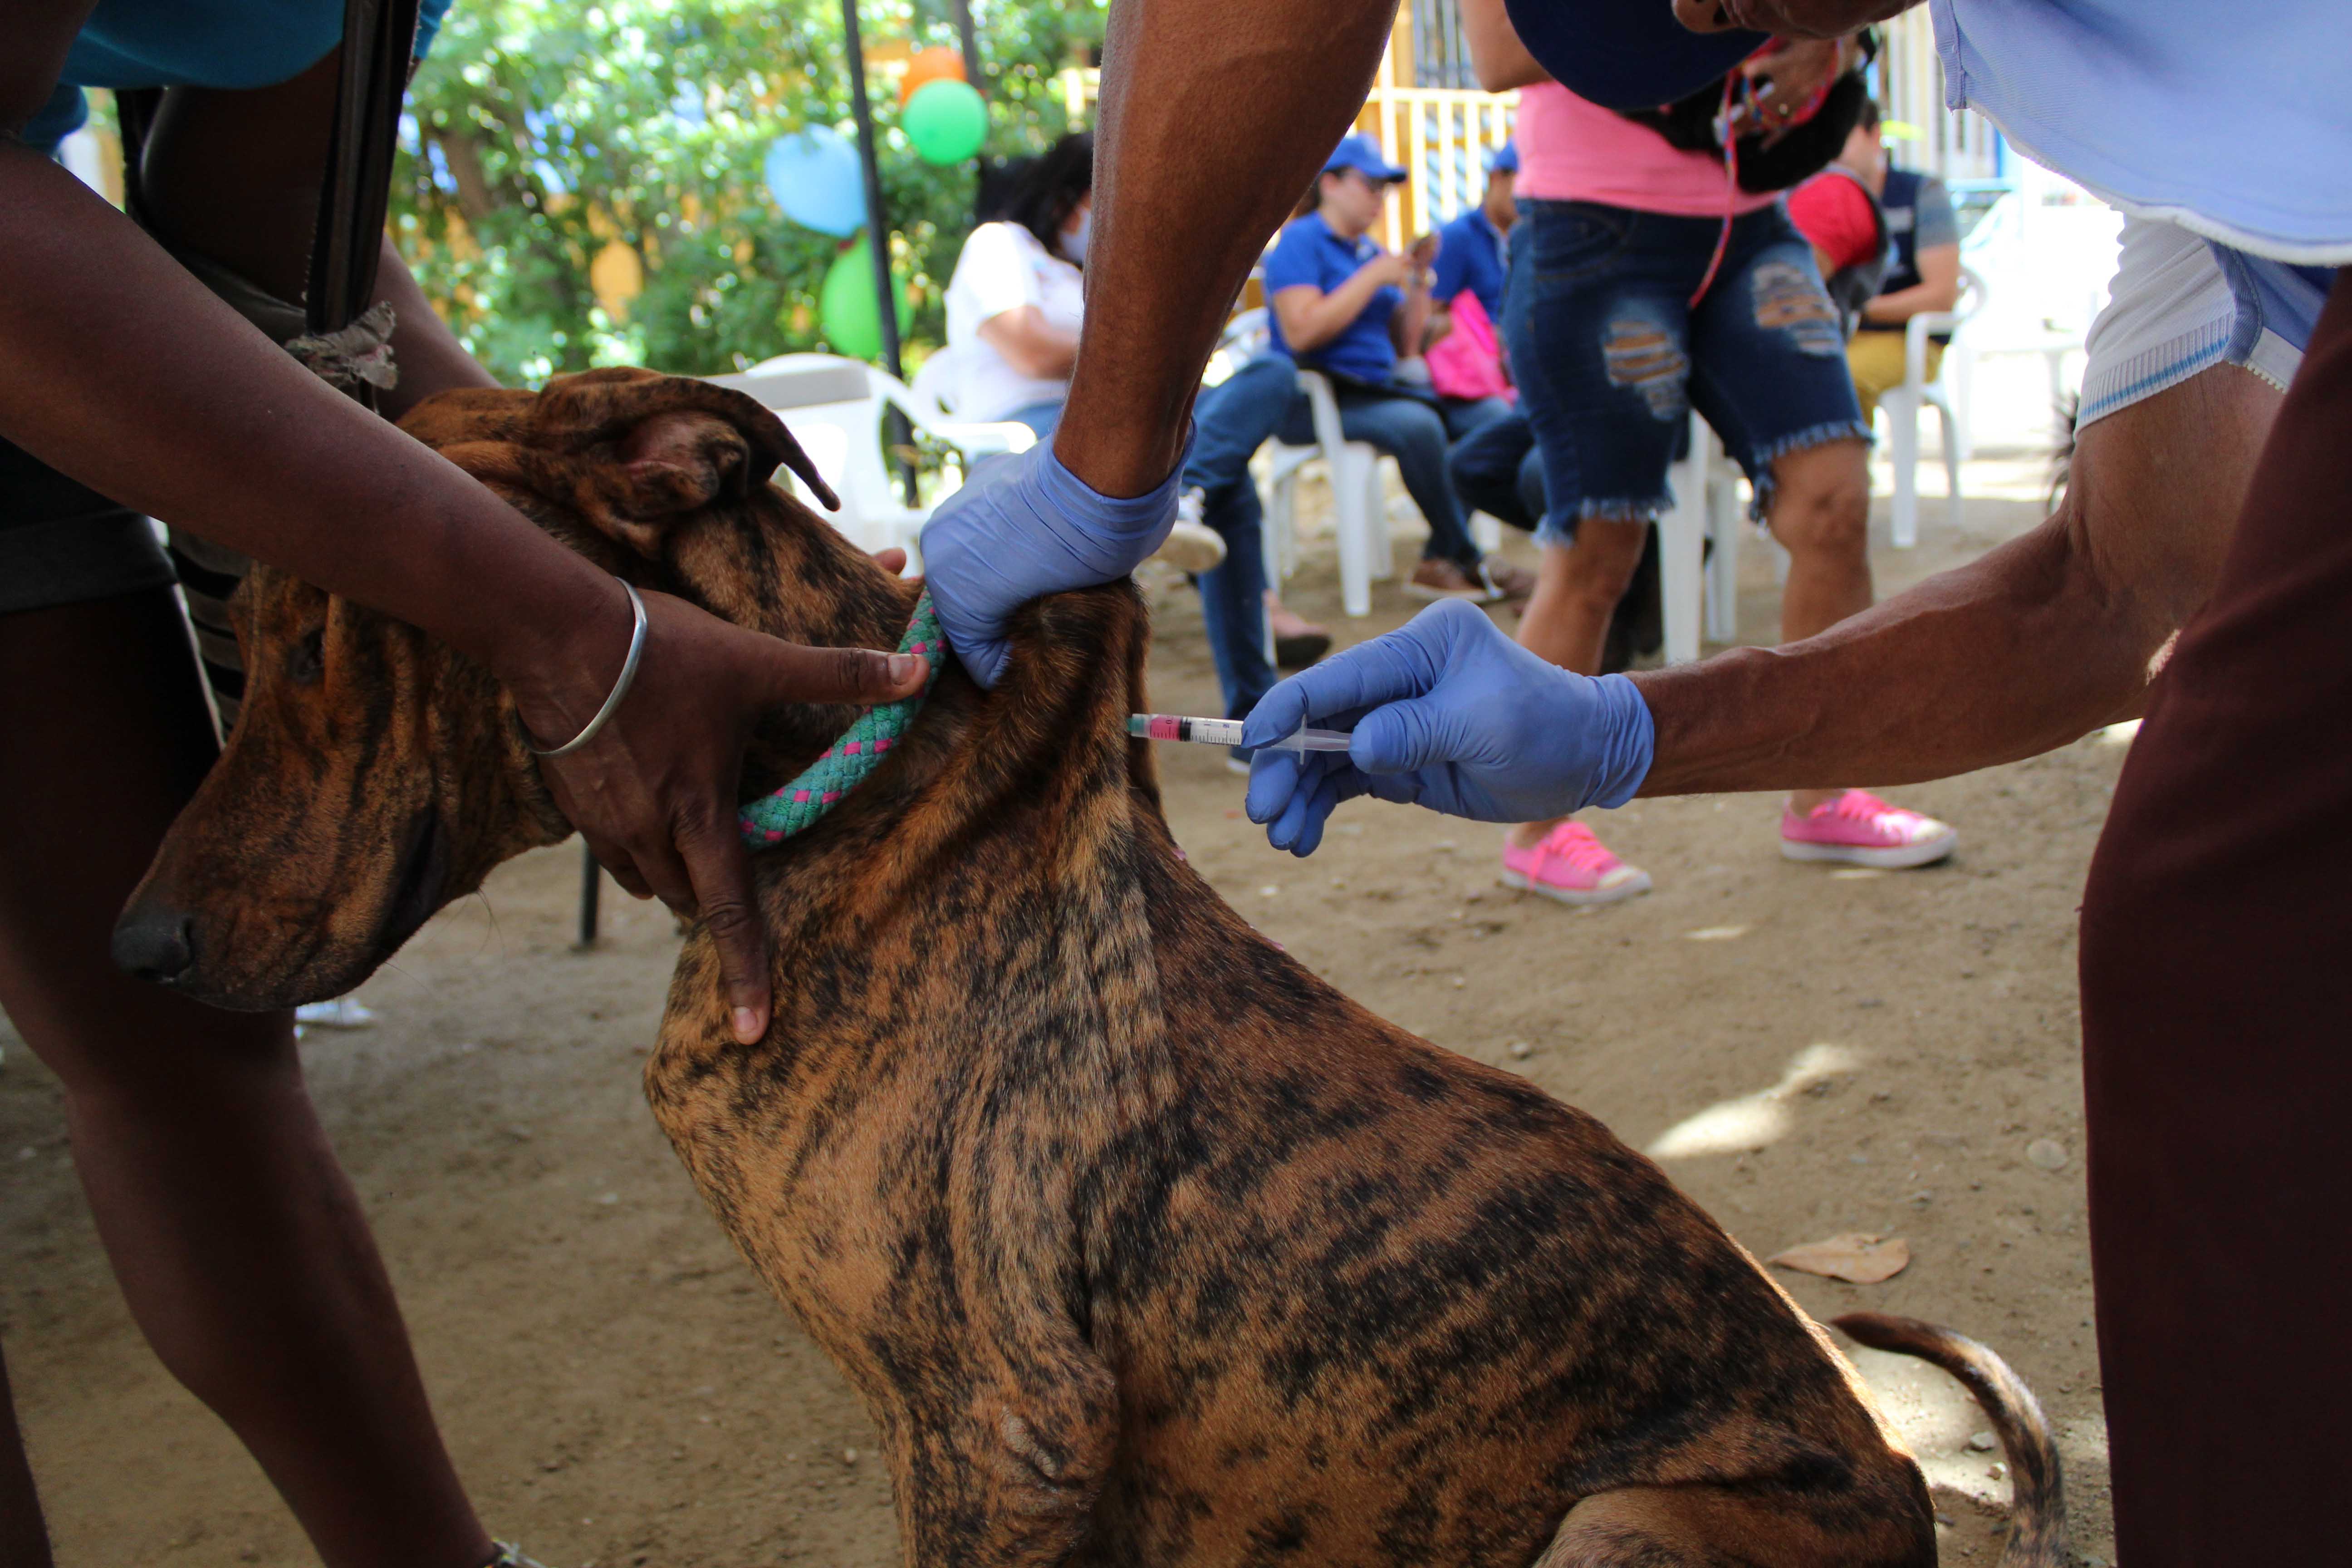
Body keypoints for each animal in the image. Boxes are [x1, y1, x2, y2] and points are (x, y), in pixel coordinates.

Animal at [119, 371, 2060, 1568]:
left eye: (318, 635)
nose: (130, 948)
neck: (827, 798)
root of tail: (1903, 1479)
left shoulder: (1004, 1432)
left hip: (1621, 1520)